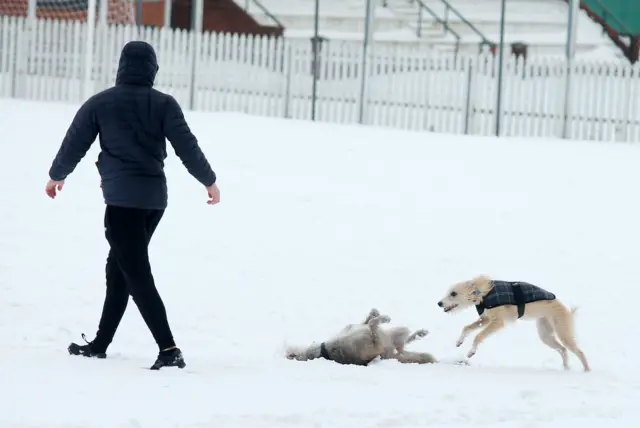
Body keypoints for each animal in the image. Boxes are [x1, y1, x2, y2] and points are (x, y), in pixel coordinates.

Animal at [288, 308, 438, 364]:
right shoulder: (376, 345)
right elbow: (371, 323)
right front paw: (382, 318)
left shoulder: (355, 327)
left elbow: (369, 319)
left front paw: (376, 313)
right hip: (393, 348)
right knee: (402, 348)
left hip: (398, 332)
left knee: (403, 343)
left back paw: (420, 334)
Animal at [436, 278, 592, 372]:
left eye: (453, 293)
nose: (439, 303)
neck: (482, 292)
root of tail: (567, 311)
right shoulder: (485, 319)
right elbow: (467, 328)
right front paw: (459, 341)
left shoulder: (497, 322)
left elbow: (478, 336)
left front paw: (471, 351)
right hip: (545, 334)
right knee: (563, 350)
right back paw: (566, 368)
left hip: (562, 331)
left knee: (579, 352)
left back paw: (586, 371)